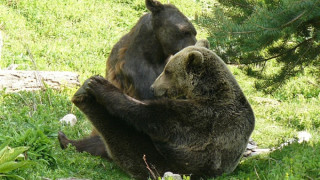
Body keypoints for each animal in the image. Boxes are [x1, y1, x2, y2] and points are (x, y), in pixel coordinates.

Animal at [68, 40, 255, 179]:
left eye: (167, 70)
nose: (153, 87)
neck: (205, 92)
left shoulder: (208, 117)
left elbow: (157, 117)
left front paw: (103, 87)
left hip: (171, 163)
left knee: (125, 139)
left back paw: (86, 95)